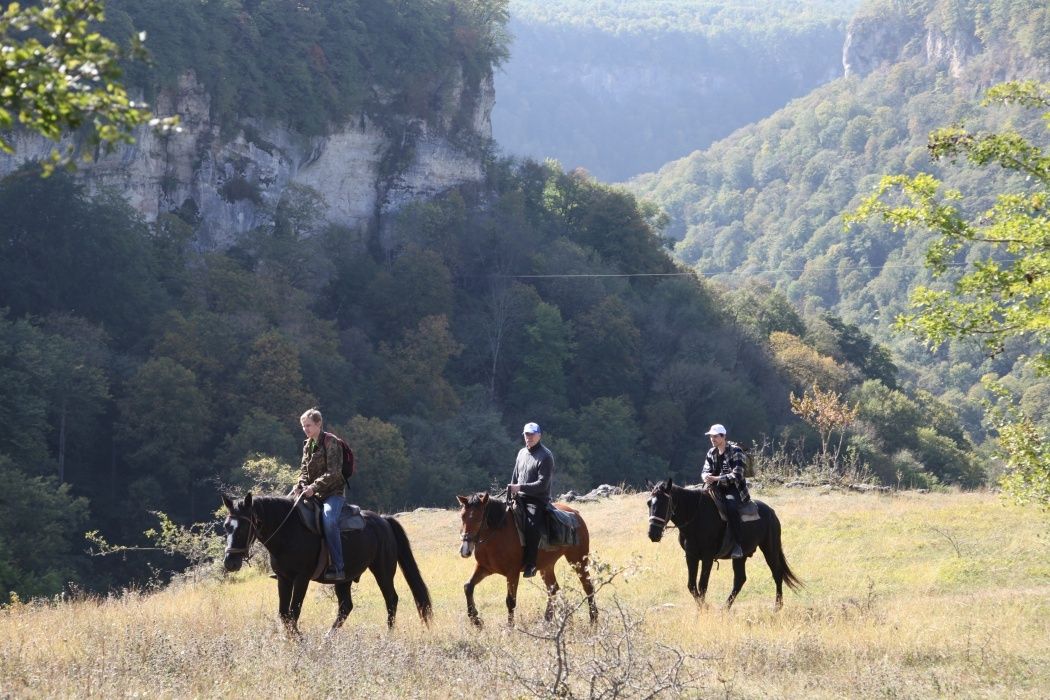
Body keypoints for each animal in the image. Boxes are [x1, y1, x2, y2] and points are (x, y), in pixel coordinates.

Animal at [223, 493, 432, 633]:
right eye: (226, 526)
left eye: (243, 527)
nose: (230, 563)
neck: (288, 532)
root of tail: (384, 521)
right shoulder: (283, 578)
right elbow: (284, 614)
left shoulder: (301, 578)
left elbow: (294, 612)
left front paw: (299, 642)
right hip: (344, 579)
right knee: (346, 607)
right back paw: (326, 640)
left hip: (383, 571)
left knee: (391, 599)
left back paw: (388, 635)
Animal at [455, 495, 596, 625]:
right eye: (462, 517)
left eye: (479, 519)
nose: (465, 550)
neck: (496, 534)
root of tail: (575, 513)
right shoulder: (484, 568)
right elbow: (468, 586)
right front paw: (475, 620)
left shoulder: (512, 573)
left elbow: (510, 601)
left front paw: (510, 629)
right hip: (547, 567)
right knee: (553, 589)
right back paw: (547, 621)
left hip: (578, 560)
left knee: (588, 586)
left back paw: (593, 619)